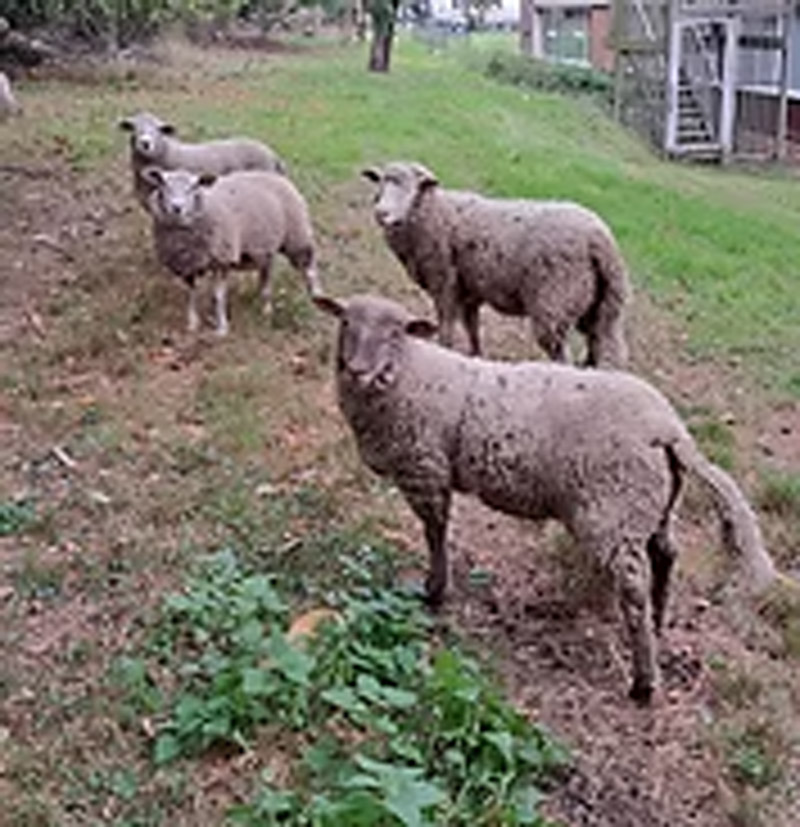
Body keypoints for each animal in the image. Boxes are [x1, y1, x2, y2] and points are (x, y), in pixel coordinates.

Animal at [145, 167, 321, 336]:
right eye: (163, 185)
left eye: (193, 187)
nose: (177, 208)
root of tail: (276, 175)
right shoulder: (188, 264)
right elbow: (191, 295)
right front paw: (192, 324)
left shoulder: (222, 259)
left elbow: (218, 296)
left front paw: (222, 328)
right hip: (265, 248)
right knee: (266, 277)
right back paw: (266, 309)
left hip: (297, 236)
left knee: (309, 271)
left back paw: (316, 301)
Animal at [315, 293, 778, 703]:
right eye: (345, 322)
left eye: (396, 332)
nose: (357, 370)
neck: (407, 369)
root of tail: (669, 430)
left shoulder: (424, 469)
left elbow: (435, 532)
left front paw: (433, 591)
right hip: (656, 506)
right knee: (665, 556)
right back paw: (660, 625)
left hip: (612, 510)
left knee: (633, 587)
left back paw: (643, 684)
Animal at [362, 161, 630, 368]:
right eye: (381, 184)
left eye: (412, 188)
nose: (381, 213)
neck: (434, 213)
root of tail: (601, 242)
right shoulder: (469, 290)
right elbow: (472, 327)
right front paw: (477, 356)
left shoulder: (445, 284)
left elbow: (447, 329)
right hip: (603, 310)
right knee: (604, 352)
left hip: (554, 304)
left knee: (564, 358)